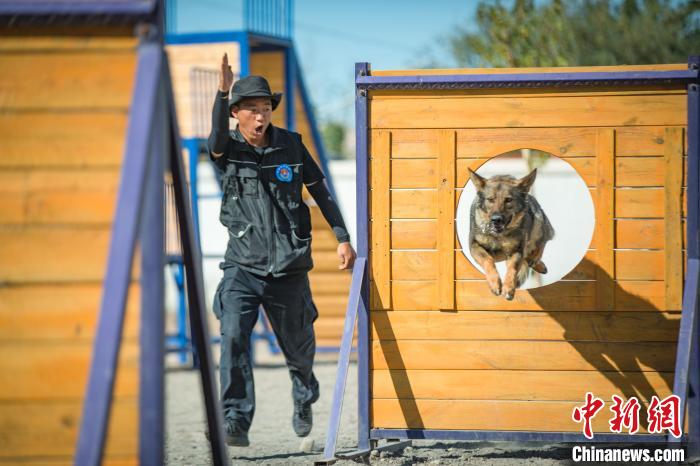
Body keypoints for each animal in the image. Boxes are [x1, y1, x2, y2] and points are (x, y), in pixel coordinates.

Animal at [468, 169, 556, 300]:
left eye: (508, 200)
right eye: (490, 199)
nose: (496, 219)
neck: (498, 236)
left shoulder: (516, 250)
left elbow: (512, 269)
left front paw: (508, 288)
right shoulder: (474, 246)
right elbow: (488, 260)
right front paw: (495, 284)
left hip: (538, 220)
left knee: (543, 240)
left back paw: (535, 259)